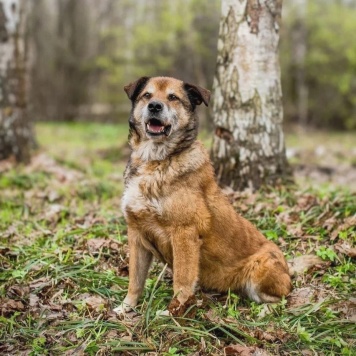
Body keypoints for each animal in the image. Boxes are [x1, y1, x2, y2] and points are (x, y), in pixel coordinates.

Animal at [114, 76, 292, 316]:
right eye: (147, 95)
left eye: (173, 97)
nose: (155, 106)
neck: (156, 160)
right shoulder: (136, 234)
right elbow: (135, 280)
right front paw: (126, 307)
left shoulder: (184, 233)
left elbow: (181, 281)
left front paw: (174, 313)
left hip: (261, 267)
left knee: (282, 300)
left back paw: (266, 310)